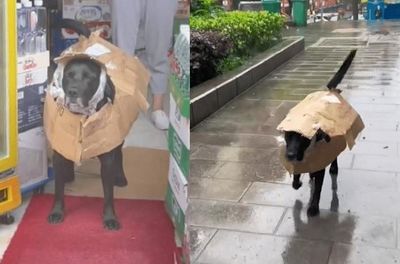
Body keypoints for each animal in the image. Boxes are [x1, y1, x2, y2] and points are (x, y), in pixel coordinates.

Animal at [46, 19, 131, 229]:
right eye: (69, 75)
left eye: (89, 78)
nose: (73, 92)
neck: (81, 119)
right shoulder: (59, 152)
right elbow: (58, 189)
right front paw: (57, 212)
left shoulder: (107, 160)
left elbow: (108, 194)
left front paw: (110, 217)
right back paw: (68, 173)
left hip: (117, 140)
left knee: (119, 154)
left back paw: (120, 176)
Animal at [280, 49, 360, 217]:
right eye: (288, 135)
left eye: (303, 137)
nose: (289, 155)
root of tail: (329, 92)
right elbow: (296, 179)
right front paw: (298, 183)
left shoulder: (320, 164)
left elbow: (318, 189)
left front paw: (313, 208)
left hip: (333, 145)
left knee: (333, 162)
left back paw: (333, 172)